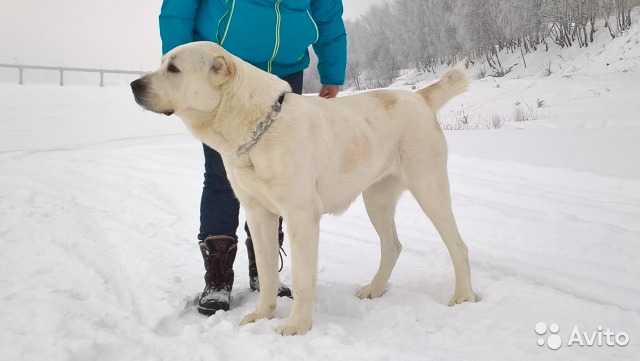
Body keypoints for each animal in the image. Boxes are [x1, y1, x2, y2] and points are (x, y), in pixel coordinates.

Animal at [132, 41, 478, 334]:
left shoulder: (300, 216)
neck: (256, 127)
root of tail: (419, 97)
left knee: (458, 246)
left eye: (173, 68)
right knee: (392, 246)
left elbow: (300, 278)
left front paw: (297, 325)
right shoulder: (258, 214)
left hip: (429, 188)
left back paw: (462, 296)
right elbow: (268, 272)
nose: (134, 85)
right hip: (376, 199)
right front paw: (263, 314)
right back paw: (375, 288)